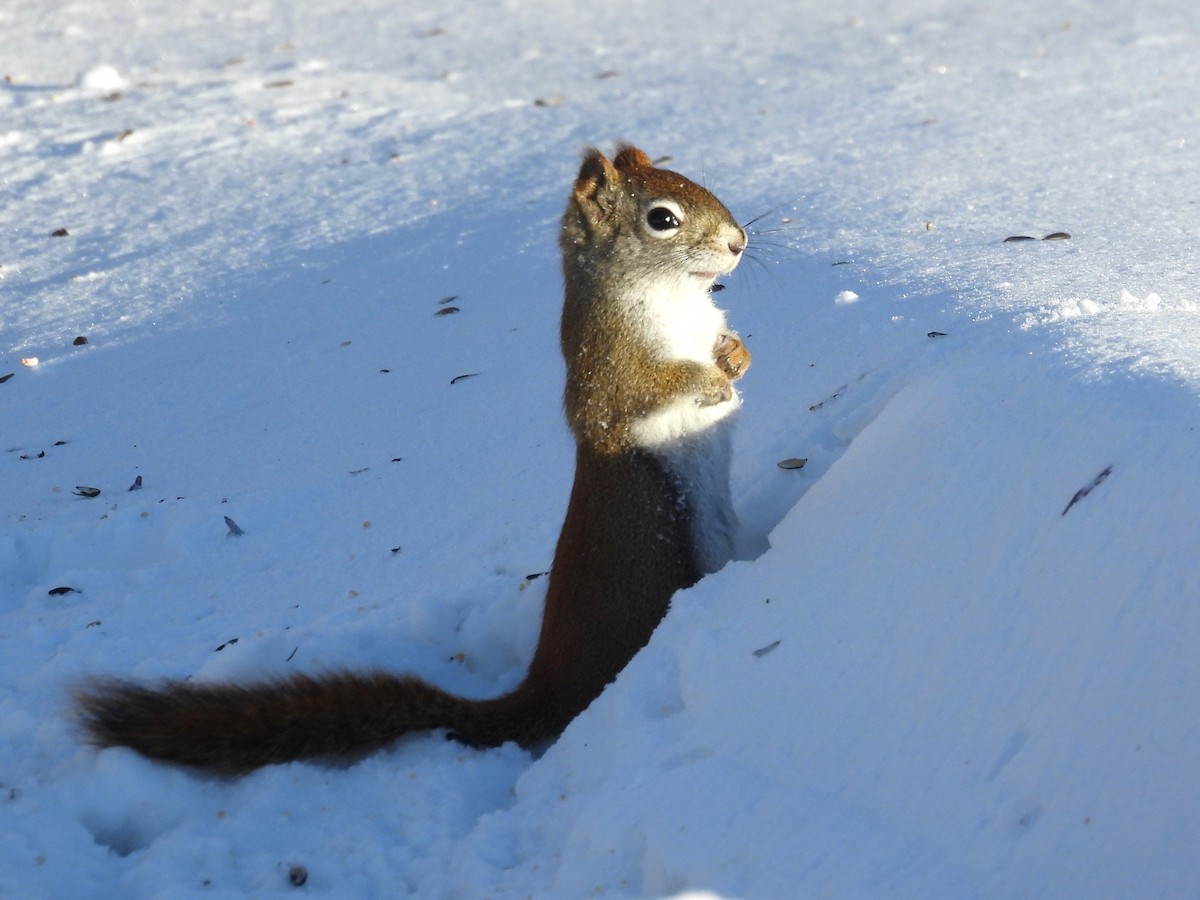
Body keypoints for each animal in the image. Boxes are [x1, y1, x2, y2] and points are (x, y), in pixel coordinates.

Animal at [75, 145, 751, 775]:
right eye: (662, 218)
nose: (739, 242)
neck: (674, 300)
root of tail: (550, 688)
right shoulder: (609, 373)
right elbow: (649, 389)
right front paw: (712, 382)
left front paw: (735, 356)